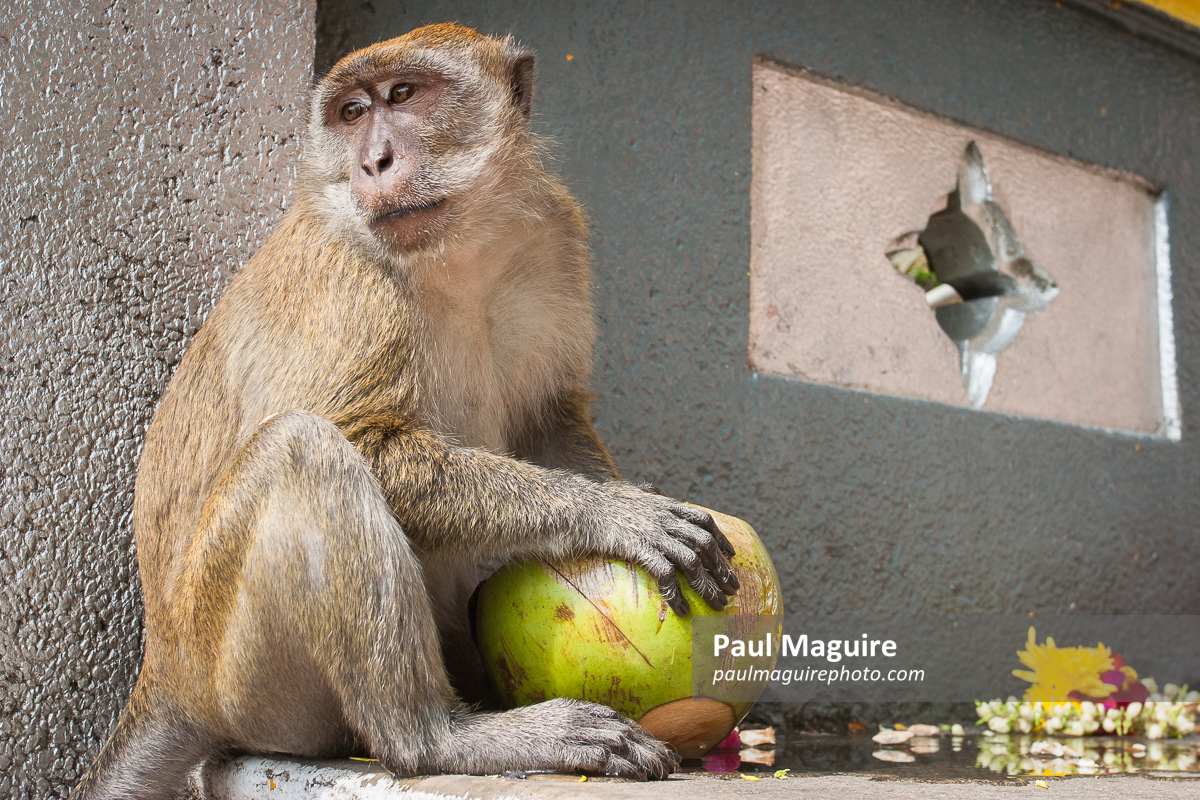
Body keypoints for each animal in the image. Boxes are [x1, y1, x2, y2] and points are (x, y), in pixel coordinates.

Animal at [74, 23, 740, 799]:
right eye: (351, 112)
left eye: (402, 94)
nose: (374, 161)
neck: (459, 253)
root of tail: (166, 674)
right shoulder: (348, 276)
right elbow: (358, 435)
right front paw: (616, 513)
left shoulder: (555, 235)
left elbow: (548, 416)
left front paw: (616, 494)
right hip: (236, 676)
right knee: (304, 451)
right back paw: (440, 737)